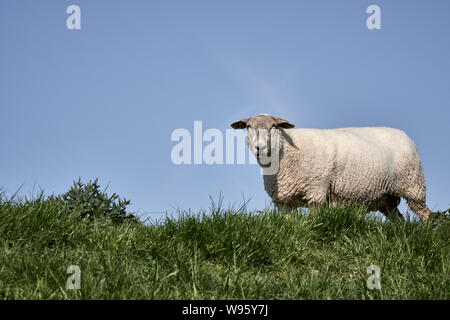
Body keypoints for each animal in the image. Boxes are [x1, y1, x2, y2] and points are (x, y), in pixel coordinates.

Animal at [232, 114, 432, 221]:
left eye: (273, 126)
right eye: (248, 126)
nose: (259, 147)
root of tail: (406, 137)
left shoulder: (316, 189)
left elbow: (314, 218)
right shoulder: (283, 201)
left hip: (413, 185)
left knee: (425, 213)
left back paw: (427, 233)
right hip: (386, 198)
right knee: (398, 218)